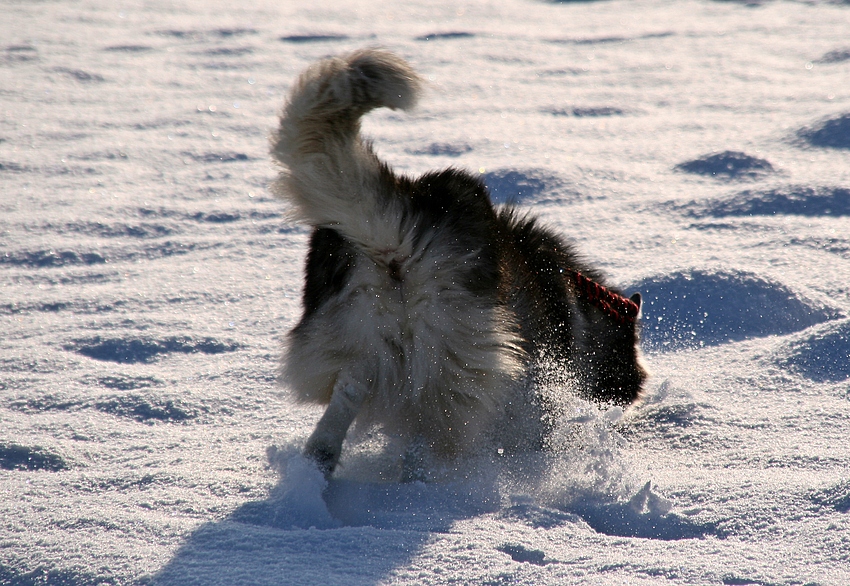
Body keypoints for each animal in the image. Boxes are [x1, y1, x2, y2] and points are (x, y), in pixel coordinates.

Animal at [272, 49, 648, 474]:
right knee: (428, 439)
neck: (578, 301)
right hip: (452, 364)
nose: (634, 391)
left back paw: (320, 462)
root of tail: (401, 232)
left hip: (358, 341)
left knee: (346, 398)